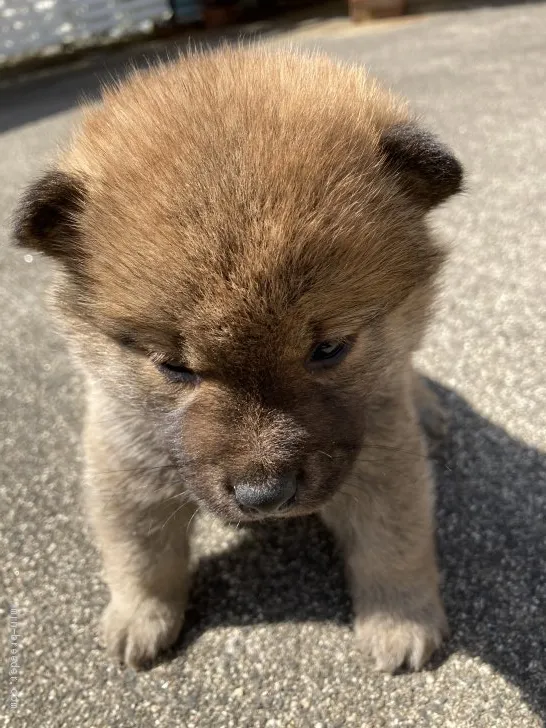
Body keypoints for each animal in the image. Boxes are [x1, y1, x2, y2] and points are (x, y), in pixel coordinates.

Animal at [12, 45, 460, 672]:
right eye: (175, 367)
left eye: (329, 349)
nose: (263, 497)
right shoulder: (125, 468)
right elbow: (140, 556)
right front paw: (139, 619)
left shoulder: (382, 455)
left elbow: (393, 546)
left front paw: (401, 624)